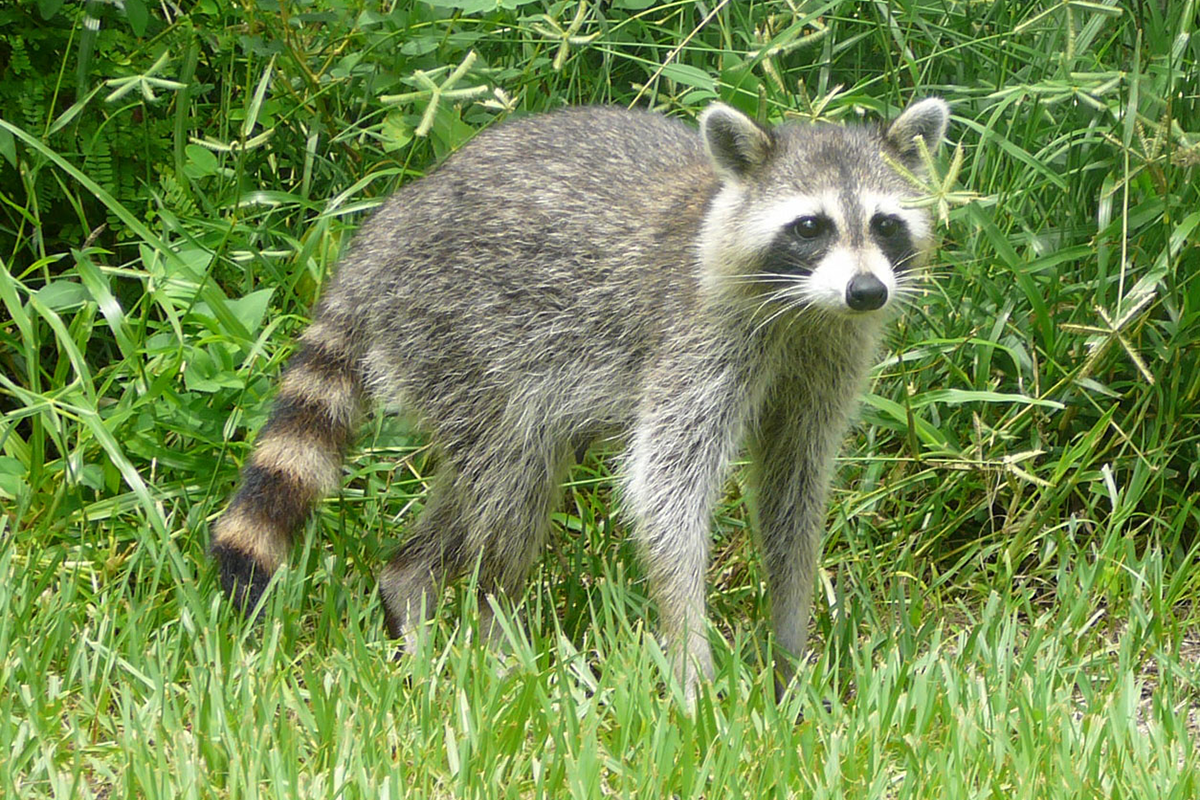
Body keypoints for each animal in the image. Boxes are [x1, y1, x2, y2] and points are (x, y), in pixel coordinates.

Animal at [211, 97, 950, 705]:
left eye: (885, 224)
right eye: (810, 226)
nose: (867, 291)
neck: (805, 310)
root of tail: (384, 231)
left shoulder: (829, 355)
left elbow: (793, 492)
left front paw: (790, 658)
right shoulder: (695, 336)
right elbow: (665, 492)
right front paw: (692, 661)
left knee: (492, 483)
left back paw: (409, 585)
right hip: (461, 335)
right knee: (512, 484)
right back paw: (492, 628)